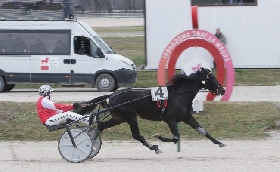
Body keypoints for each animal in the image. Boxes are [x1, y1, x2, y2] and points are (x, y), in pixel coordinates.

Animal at [77, 67, 226, 153]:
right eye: (212, 77)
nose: (222, 89)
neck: (180, 94)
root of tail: (112, 95)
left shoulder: (187, 117)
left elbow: (203, 131)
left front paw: (220, 143)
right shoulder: (171, 119)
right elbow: (176, 137)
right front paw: (159, 137)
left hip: (119, 118)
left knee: (101, 126)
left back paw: (92, 144)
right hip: (130, 116)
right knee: (136, 134)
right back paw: (153, 147)